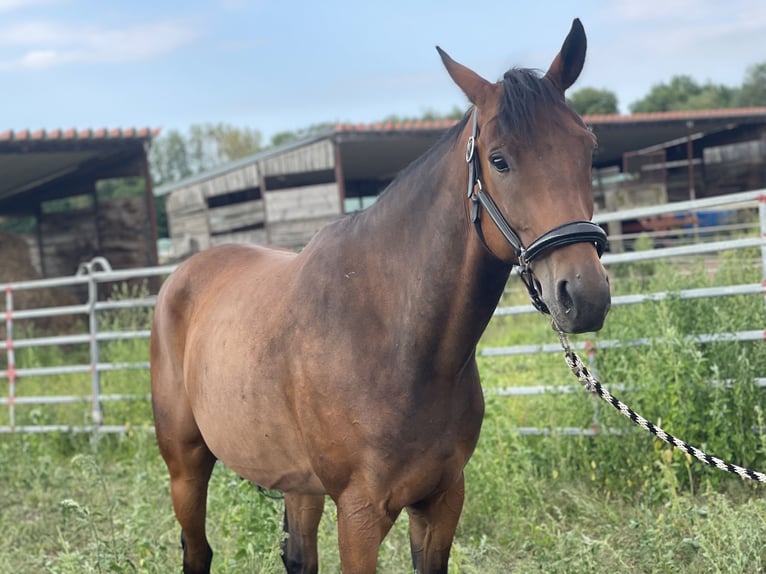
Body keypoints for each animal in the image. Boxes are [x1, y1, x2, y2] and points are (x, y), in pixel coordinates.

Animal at [150, 18, 612, 574]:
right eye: (499, 160)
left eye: (588, 147)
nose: (583, 294)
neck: (399, 340)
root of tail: (182, 276)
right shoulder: (360, 513)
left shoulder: (442, 500)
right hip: (185, 466)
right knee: (197, 549)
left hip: (299, 484)